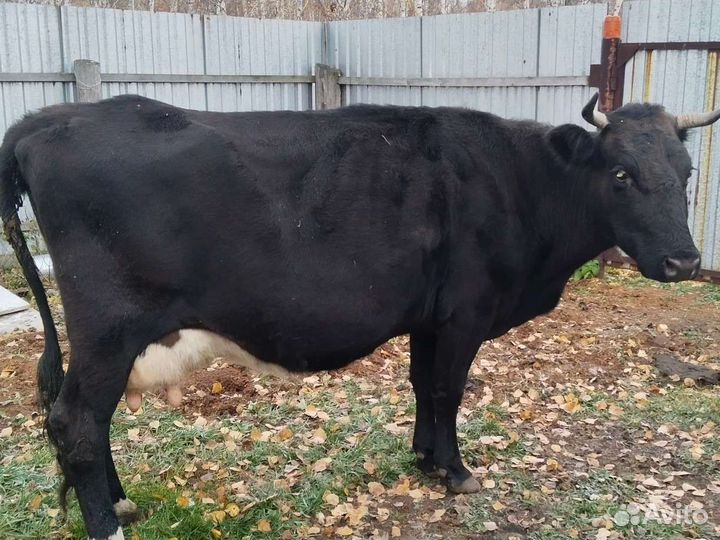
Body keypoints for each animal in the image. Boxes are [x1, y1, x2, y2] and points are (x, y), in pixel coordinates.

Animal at [1, 93, 716, 540]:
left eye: (686, 171)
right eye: (621, 173)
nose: (684, 260)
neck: (520, 182)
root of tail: (43, 120)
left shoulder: (430, 315)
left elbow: (422, 384)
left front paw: (425, 457)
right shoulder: (466, 311)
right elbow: (448, 388)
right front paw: (456, 472)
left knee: (84, 420)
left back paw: (123, 503)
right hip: (109, 330)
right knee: (75, 422)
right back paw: (108, 526)